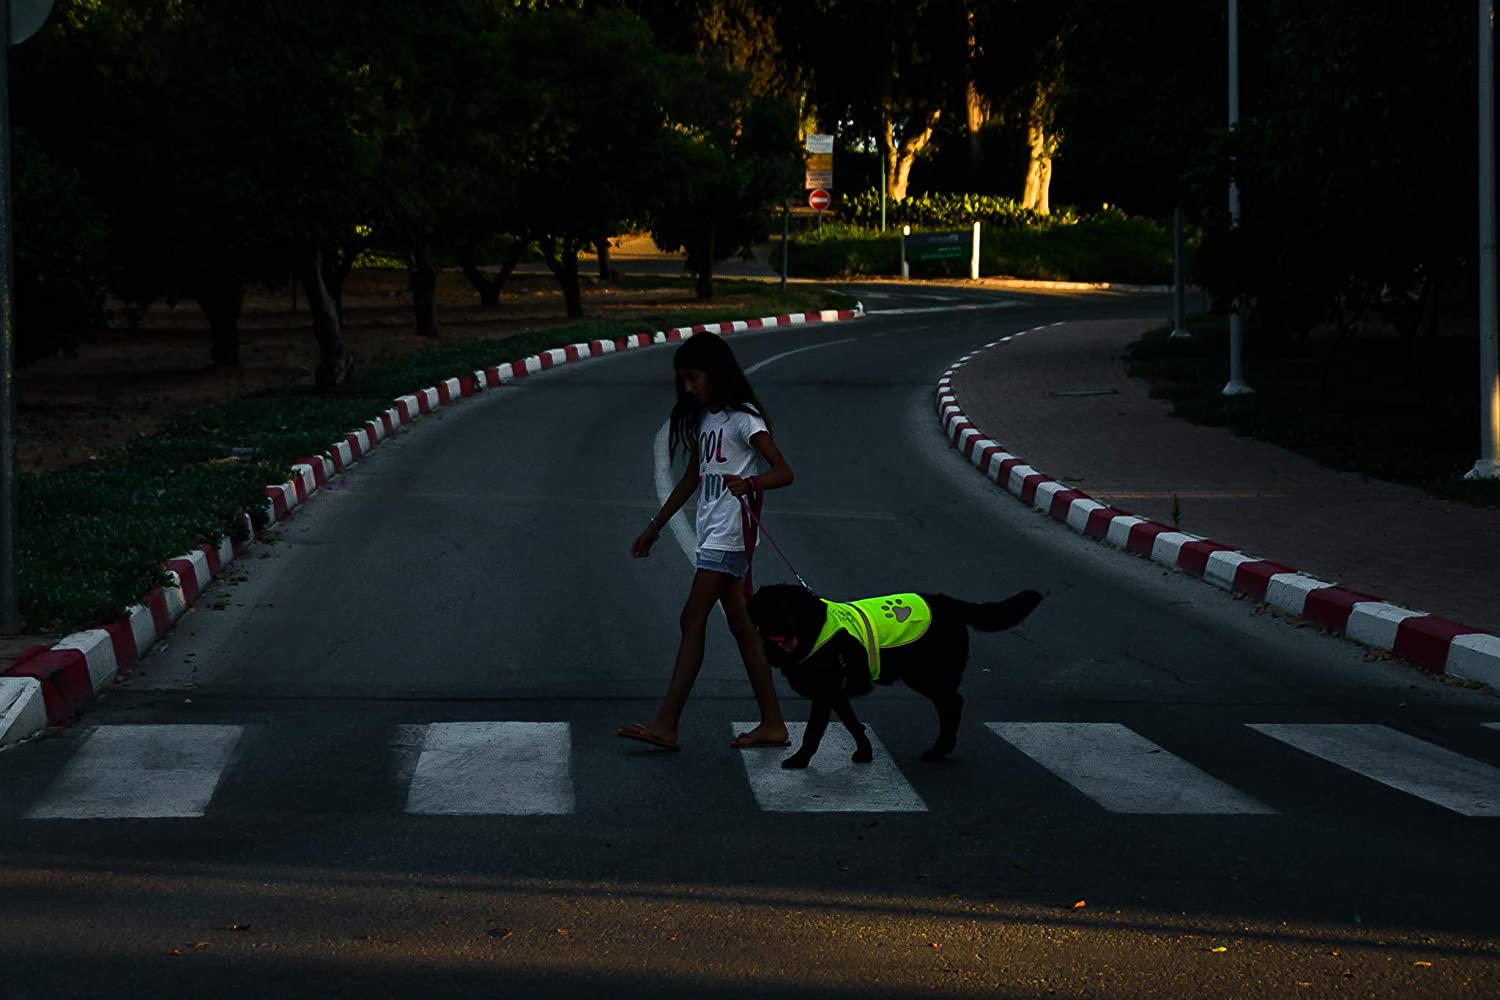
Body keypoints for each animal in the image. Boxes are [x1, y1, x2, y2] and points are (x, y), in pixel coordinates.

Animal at [750, 587, 1044, 767]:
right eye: (771, 606)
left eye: (792, 606)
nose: (783, 626)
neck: (812, 632)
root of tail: (948, 602)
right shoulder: (836, 693)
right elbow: (853, 723)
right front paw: (865, 751)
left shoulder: (825, 692)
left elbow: (813, 731)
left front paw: (799, 760)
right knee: (951, 704)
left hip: (926, 675)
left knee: (953, 704)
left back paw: (939, 750)